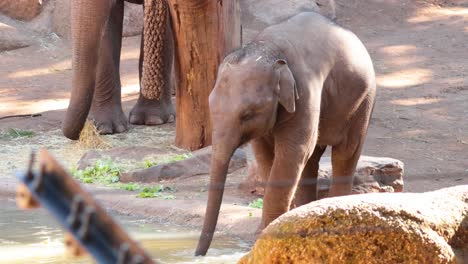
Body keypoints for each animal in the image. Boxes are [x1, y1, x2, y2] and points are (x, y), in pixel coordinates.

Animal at [196, 11, 374, 256]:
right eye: (210, 106)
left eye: (247, 114)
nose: (197, 255)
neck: (268, 48)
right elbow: (265, 155)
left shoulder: (306, 92)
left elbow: (291, 153)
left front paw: (267, 235)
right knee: (311, 160)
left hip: (363, 101)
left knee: (345, 153)